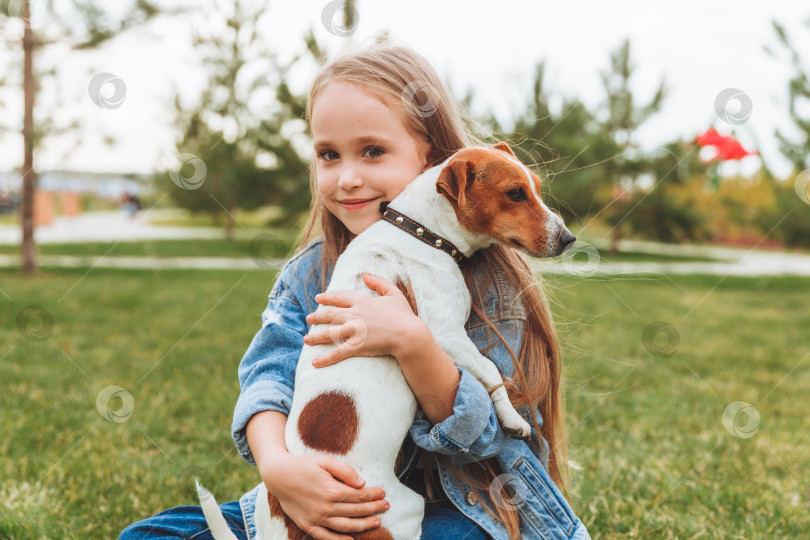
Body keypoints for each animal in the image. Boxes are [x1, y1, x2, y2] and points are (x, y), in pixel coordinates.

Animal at [196, 142, 576, 540]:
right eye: (515, 194)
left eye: (536, 188)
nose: (569, 238)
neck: (419, 232)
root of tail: (294, 524)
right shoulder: (443, 334)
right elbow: (490, 371)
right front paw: (511, 418)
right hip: (402, 512)